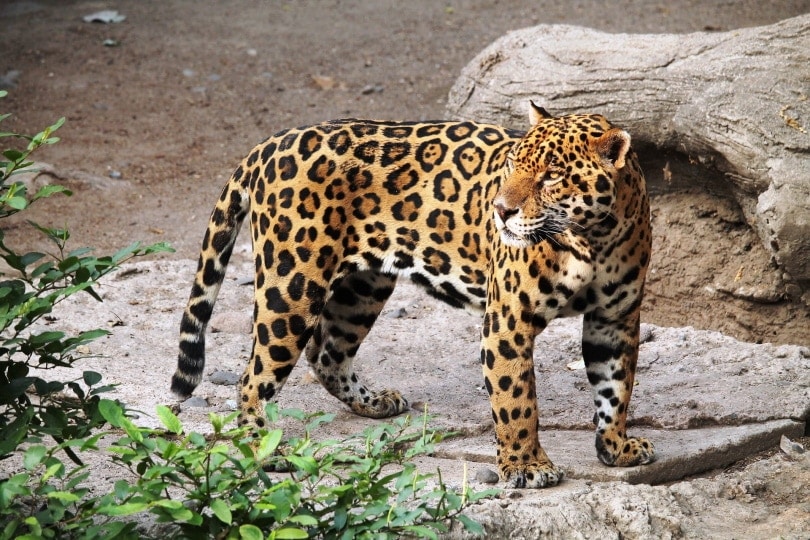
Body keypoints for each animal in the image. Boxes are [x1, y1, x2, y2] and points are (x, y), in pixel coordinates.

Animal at [171, 103, 655, 488]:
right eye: (512, 166)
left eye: (552, 176)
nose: (500, 211)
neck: (593, 239)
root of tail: (271, 143)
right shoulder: (508, 322)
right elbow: (517, 400)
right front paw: (526, 466)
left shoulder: (614, 321)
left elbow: (615, 388)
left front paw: (616, 447)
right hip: (292, 286)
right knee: (254, 376)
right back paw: (262, 448)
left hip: (363, 288)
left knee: (326, 353)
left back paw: (374, 403)